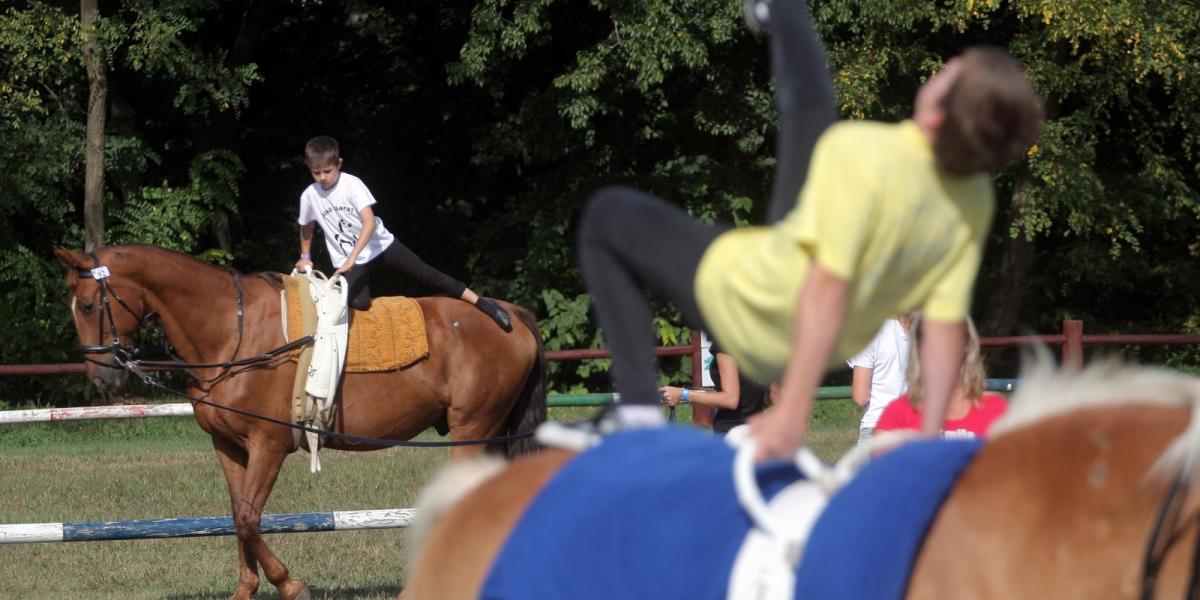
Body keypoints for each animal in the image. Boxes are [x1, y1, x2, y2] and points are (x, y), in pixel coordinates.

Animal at [54, 244, 547, 600]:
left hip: (472, 430)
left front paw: (292, 585)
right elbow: (238, 515)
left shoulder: (268, 445)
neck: (232, 330)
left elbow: (250, 518)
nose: (102, 379)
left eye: (90, 305)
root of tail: (510, 314)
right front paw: (246, 590)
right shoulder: (228, 446)